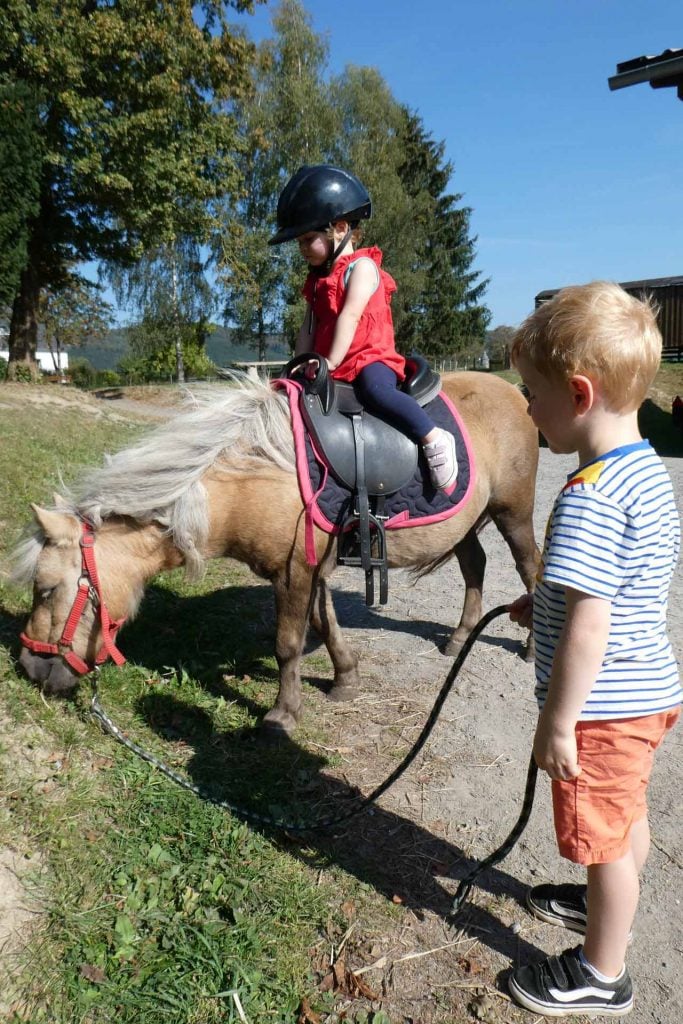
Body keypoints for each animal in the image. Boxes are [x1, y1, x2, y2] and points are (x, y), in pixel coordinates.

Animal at [13, 372, 540, 733]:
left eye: (47, 589)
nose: (30, 668)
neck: (253, 475)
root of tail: (516, 392)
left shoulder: (293, 570)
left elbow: (287, 643)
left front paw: (283, 715)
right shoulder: (314, 567)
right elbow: (324, 624)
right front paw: (344, 680)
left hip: (513, 512)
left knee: (531, 570)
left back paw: (532, 647)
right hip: (467, 522)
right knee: (475, 565)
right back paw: (459, 637)